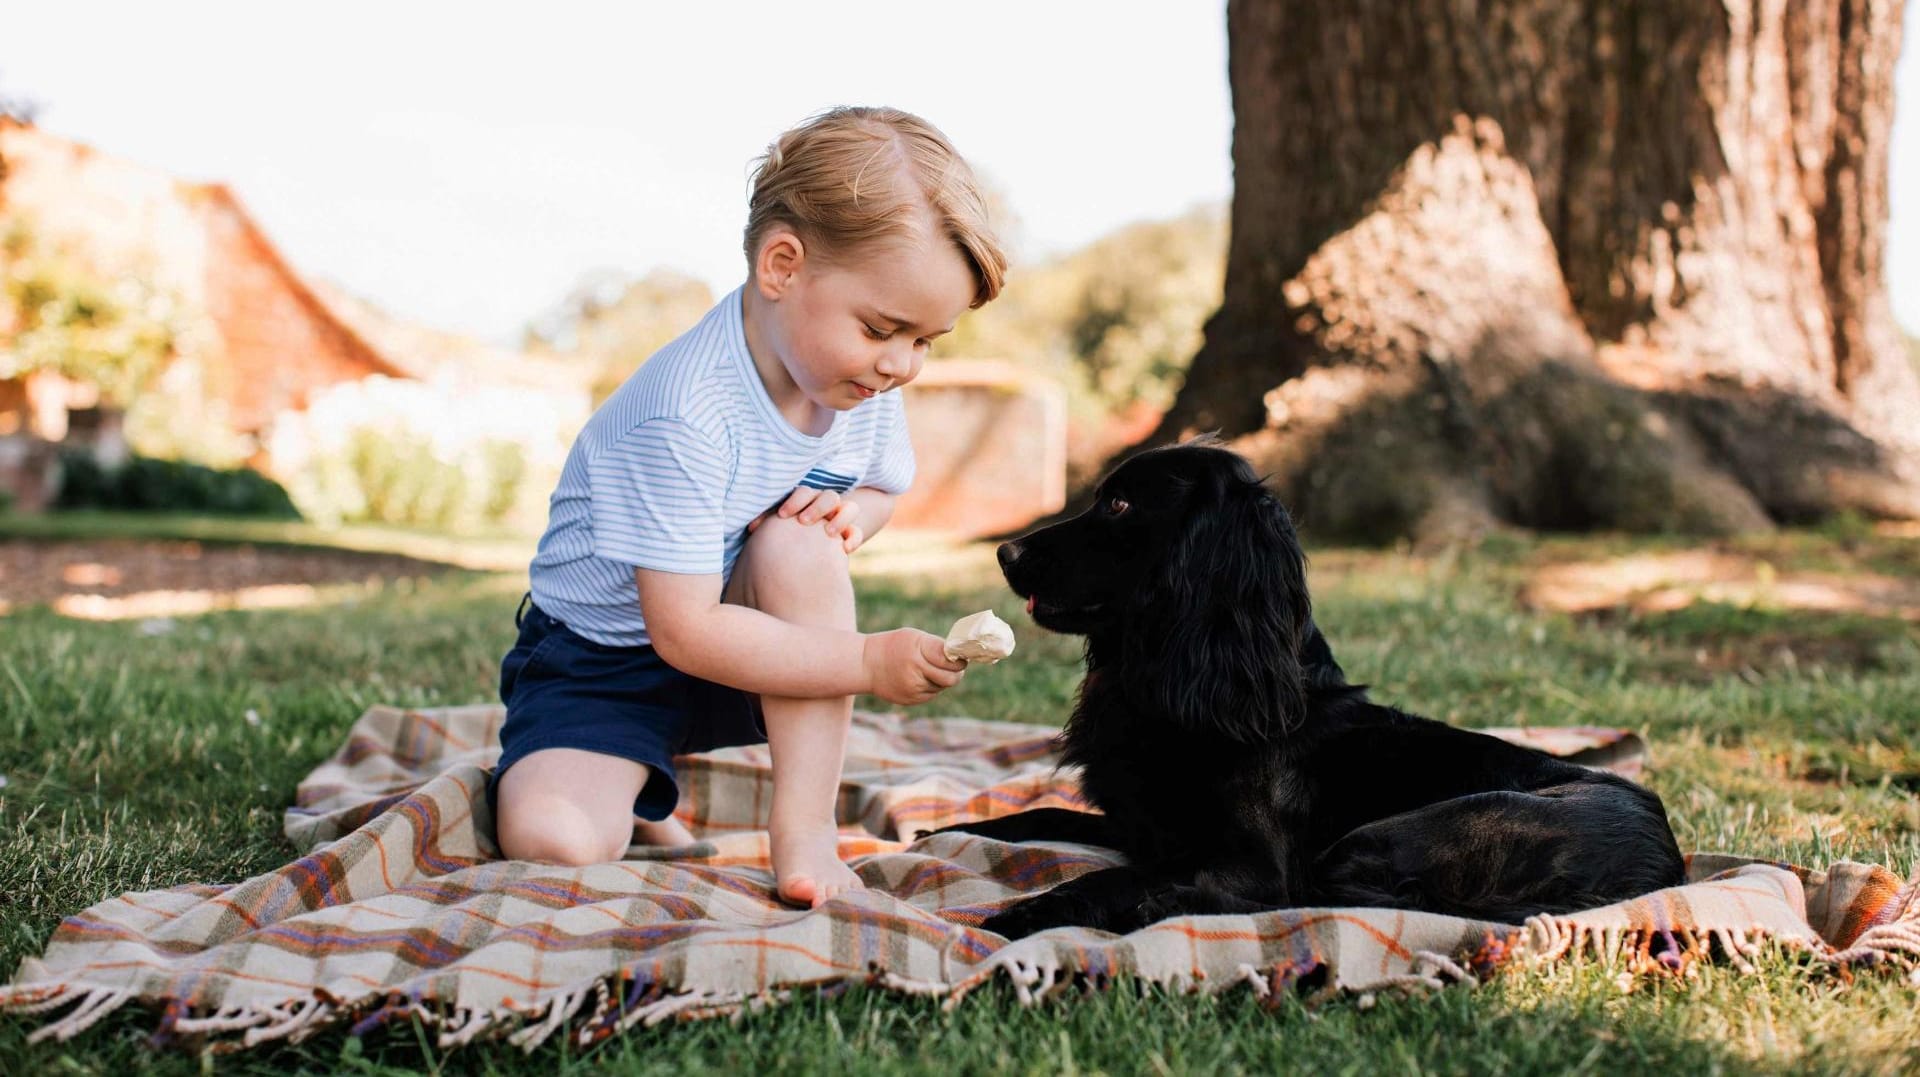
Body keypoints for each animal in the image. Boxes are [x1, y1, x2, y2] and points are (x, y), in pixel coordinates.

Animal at [929, 441, 1681, 936]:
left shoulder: (1250, 859)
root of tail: (1662, 869)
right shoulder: (1142, 826)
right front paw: (941, 831)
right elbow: (1034, 816)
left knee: (1321, 901)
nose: (1005, 552)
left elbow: (1127, 874)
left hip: (1388, 837)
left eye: (1118, 503)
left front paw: (1032, 909)